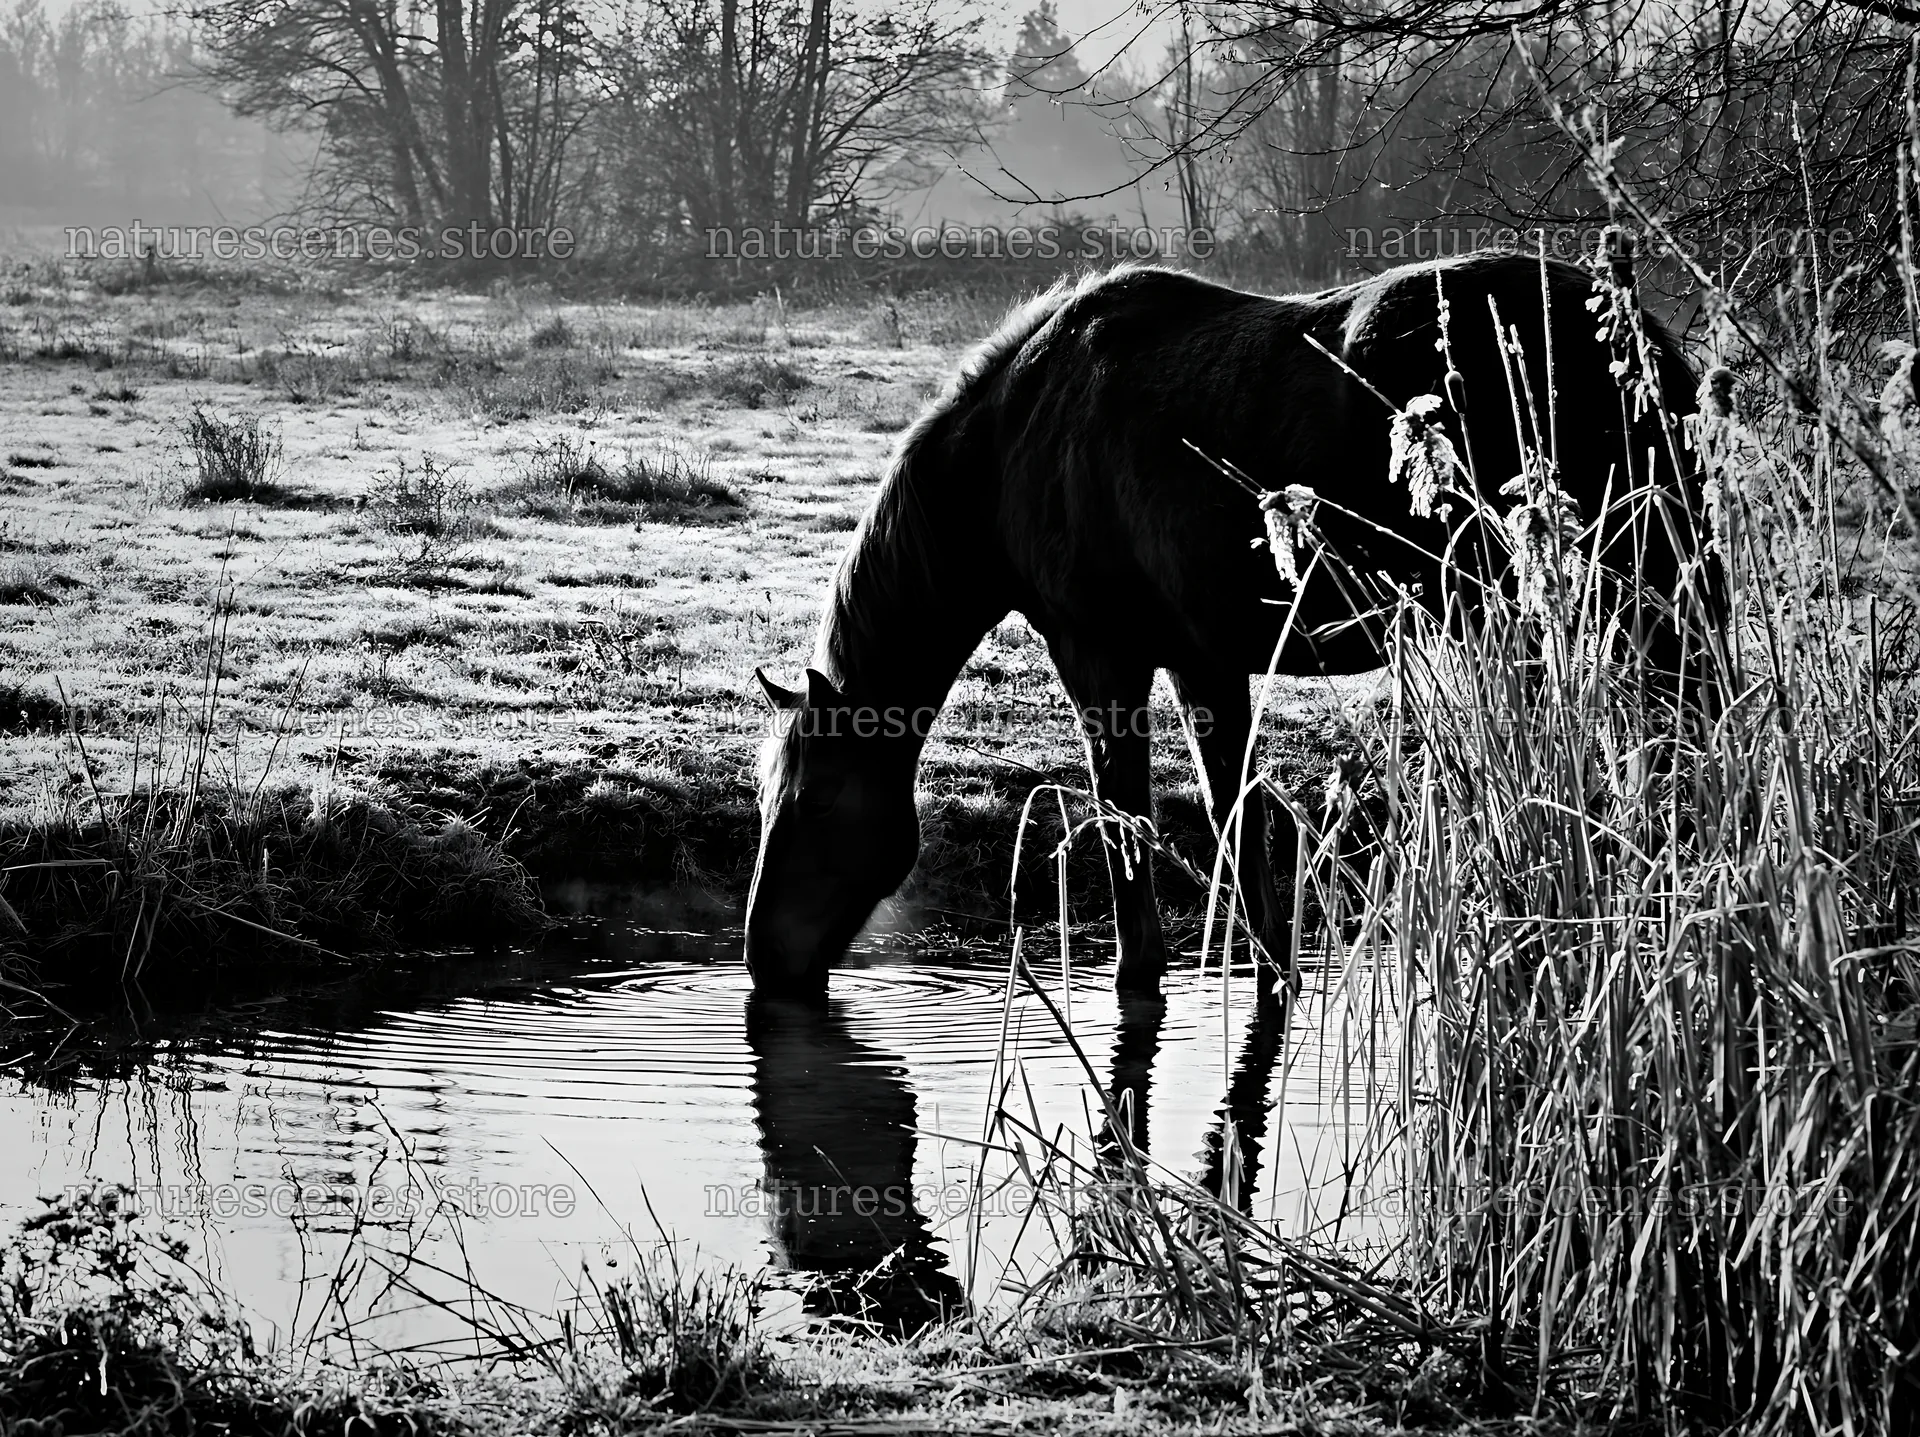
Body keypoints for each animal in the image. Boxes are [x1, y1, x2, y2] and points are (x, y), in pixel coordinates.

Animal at [744, 251, 1707, 998]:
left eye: (812, 798)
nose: (761, 957)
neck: (1014, 443)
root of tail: (1643, 344)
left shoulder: (1101, 655)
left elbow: (1125, 813)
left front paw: (1143, 970)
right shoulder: (1201, 660)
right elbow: (1235, 816)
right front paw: (1274, 969)